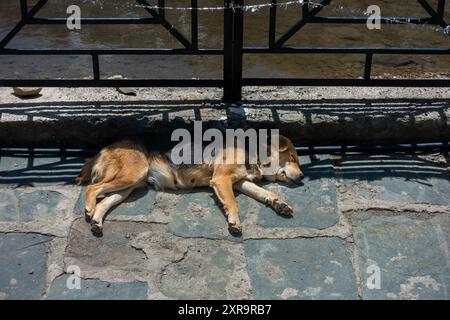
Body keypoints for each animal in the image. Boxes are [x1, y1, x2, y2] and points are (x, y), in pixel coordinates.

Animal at [76, 135, 302, 235]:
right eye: (292, 157)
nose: (301, 177)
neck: (253, 153)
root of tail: (105, 148)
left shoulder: (240, 182)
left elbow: (263, 192)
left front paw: (279, 203)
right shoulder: (221, 180)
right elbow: (232, 203)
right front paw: (234, 222)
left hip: (128, 187)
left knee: (104, 201)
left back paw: (96, 221)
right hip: (131, 175)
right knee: (92, 188)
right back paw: (89, 208)